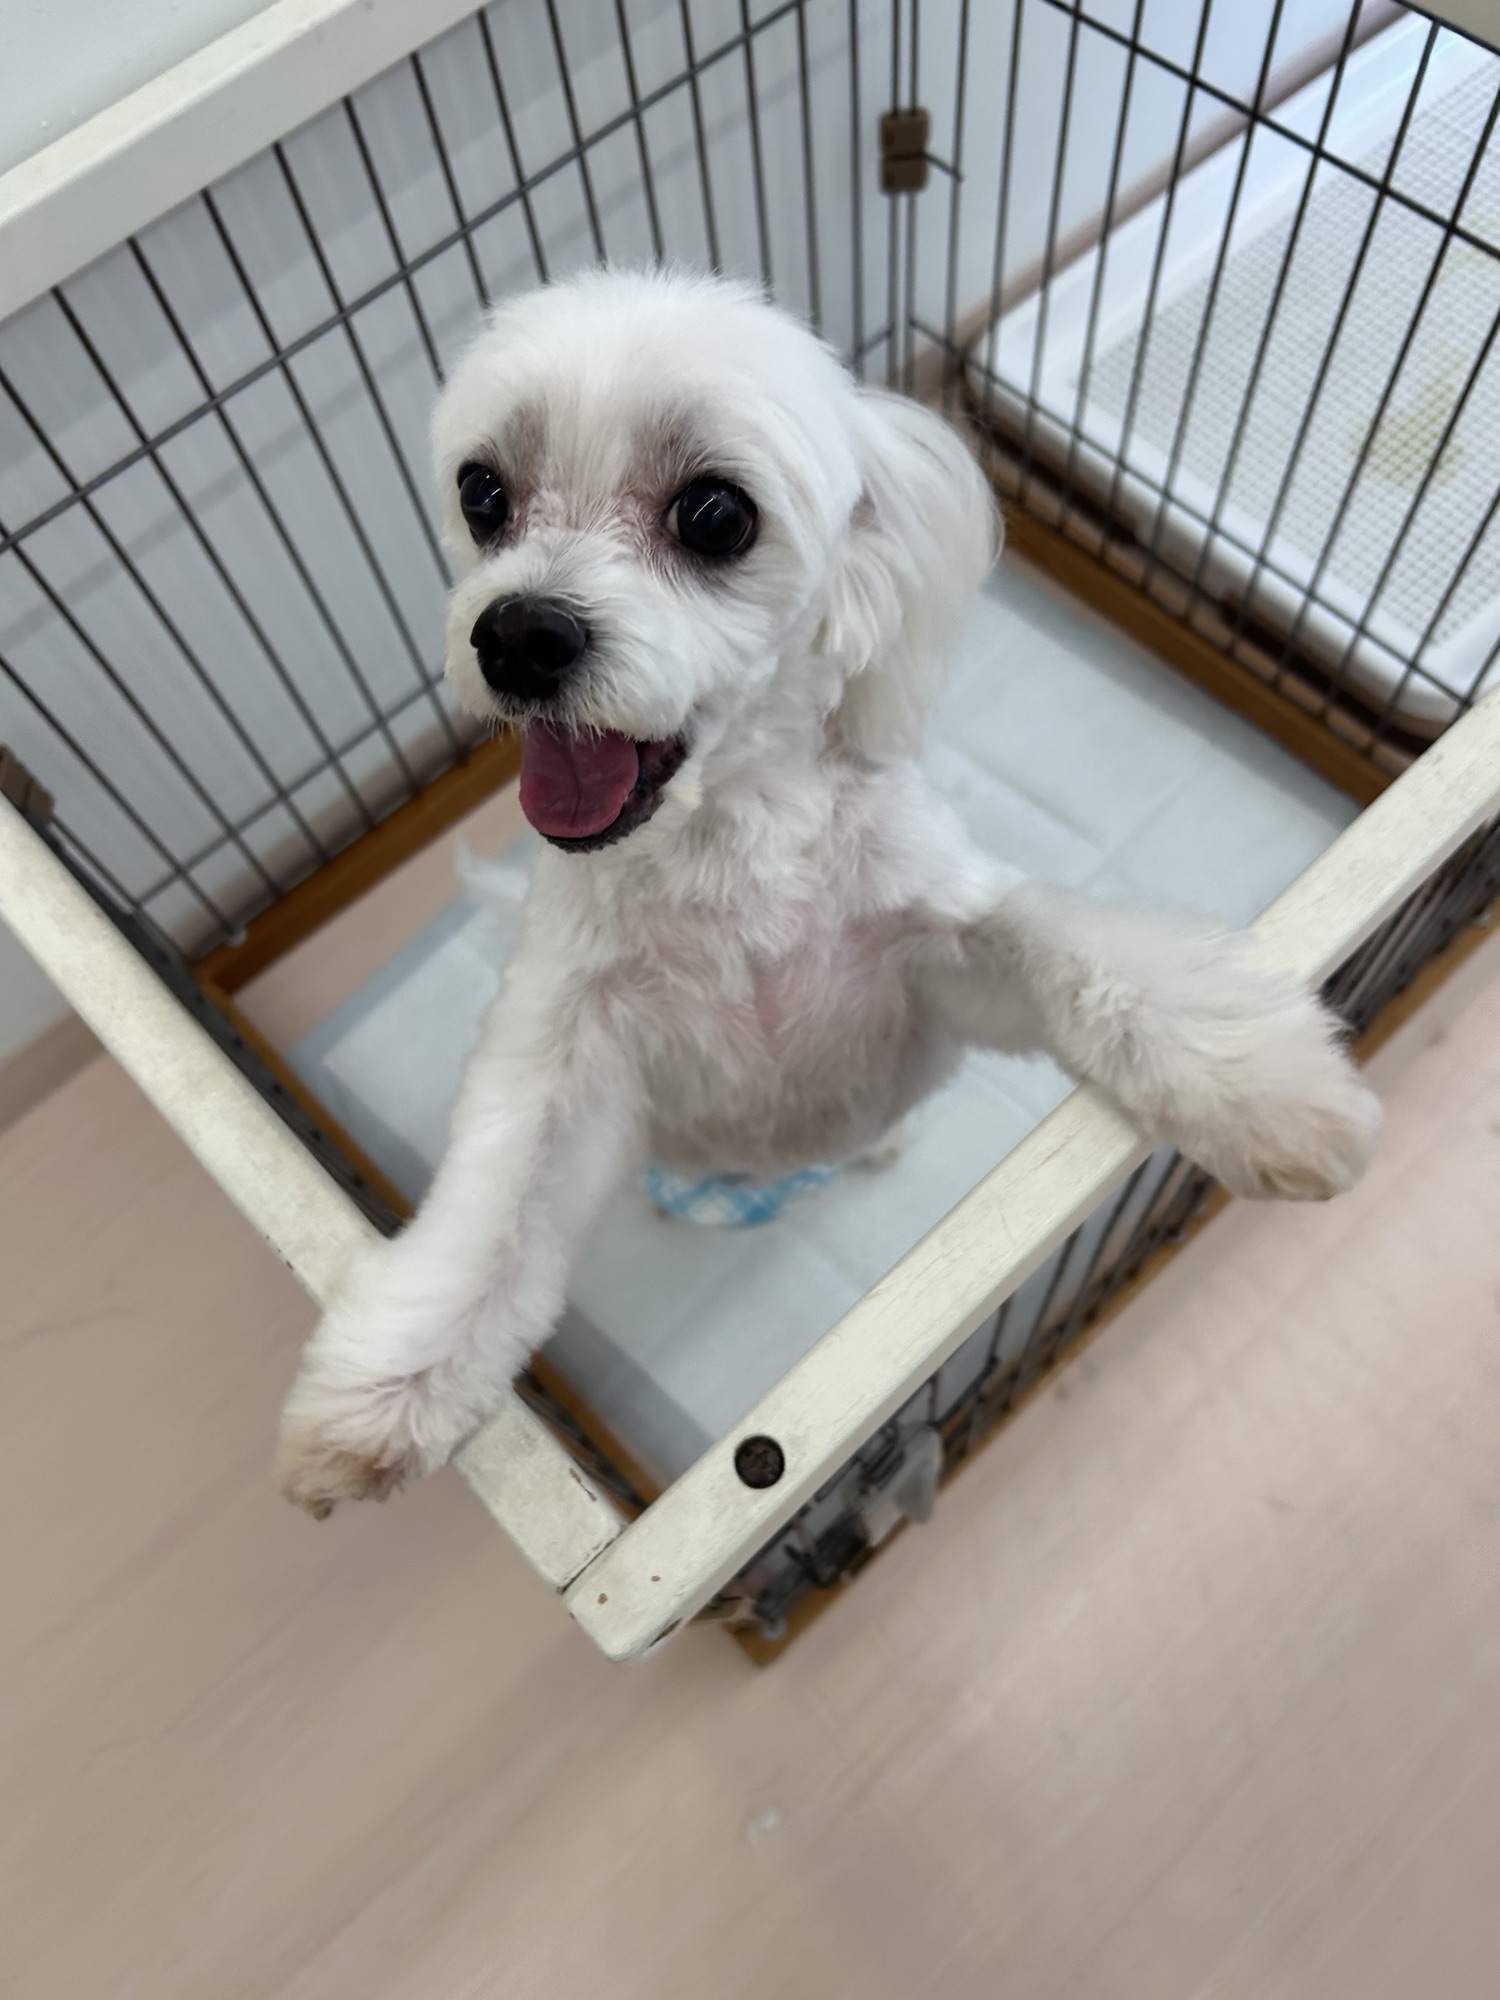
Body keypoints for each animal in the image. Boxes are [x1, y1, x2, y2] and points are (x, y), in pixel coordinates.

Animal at [277, 268, 1381, 1516]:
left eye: (716, 515)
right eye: (482, 494)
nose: (514, 632)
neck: (726, 844)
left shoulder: (938, 944)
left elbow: (1090, 956)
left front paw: (1264, 1089)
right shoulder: (566, 1046)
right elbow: (495, 1218)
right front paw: (388, 1386)